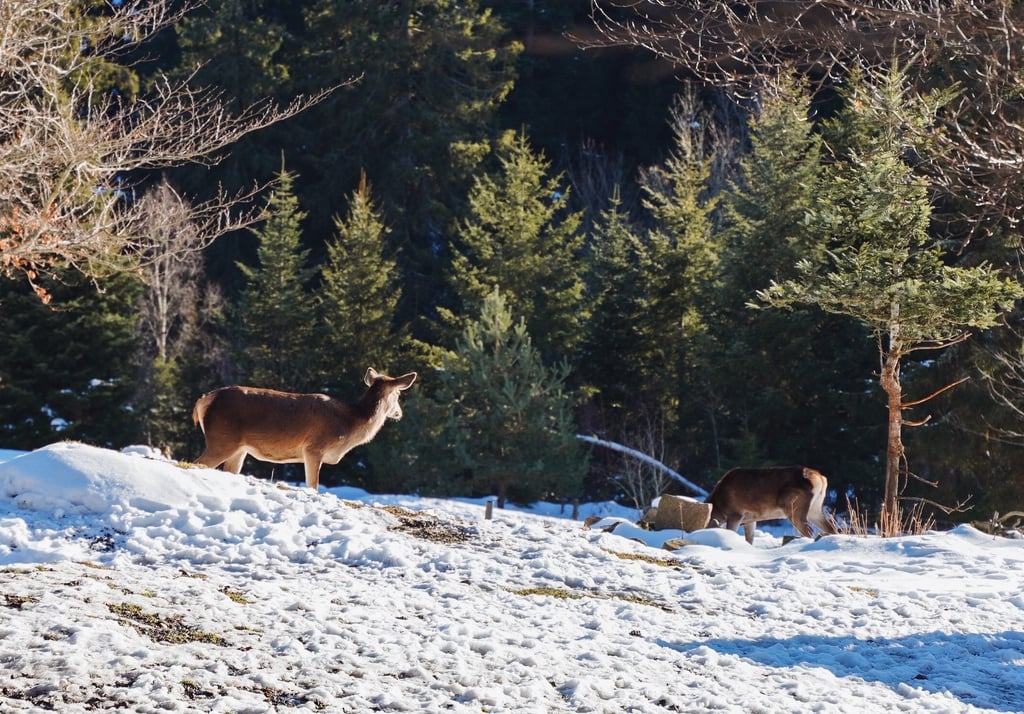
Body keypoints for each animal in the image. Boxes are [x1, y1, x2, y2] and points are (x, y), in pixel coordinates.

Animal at [192, 366, 415, 489]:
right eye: (398, 394)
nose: (399, 413)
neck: (349, 423)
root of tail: (202, 401)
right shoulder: (314, 448)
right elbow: (313, 486)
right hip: (222, 438)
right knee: (197, 463)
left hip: (239, 449)